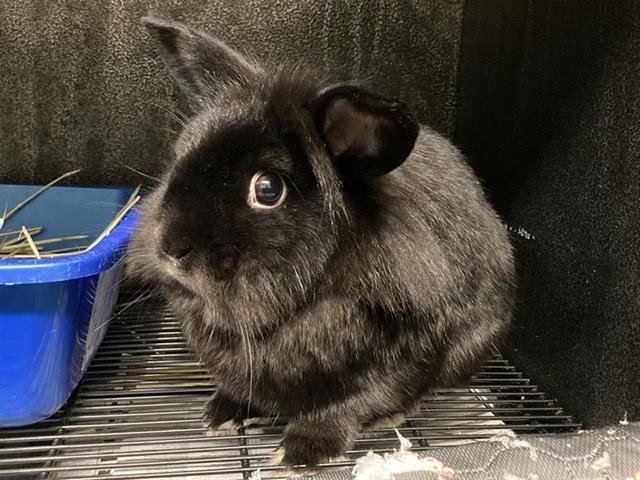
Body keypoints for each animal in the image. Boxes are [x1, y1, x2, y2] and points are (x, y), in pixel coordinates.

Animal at [126, 15, 516, 469]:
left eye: (268, 189)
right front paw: (223, 413)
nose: (169, 246)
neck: (294, 312)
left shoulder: (409, 349)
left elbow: (351, 403)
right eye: (180, 155)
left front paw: (300, 450)